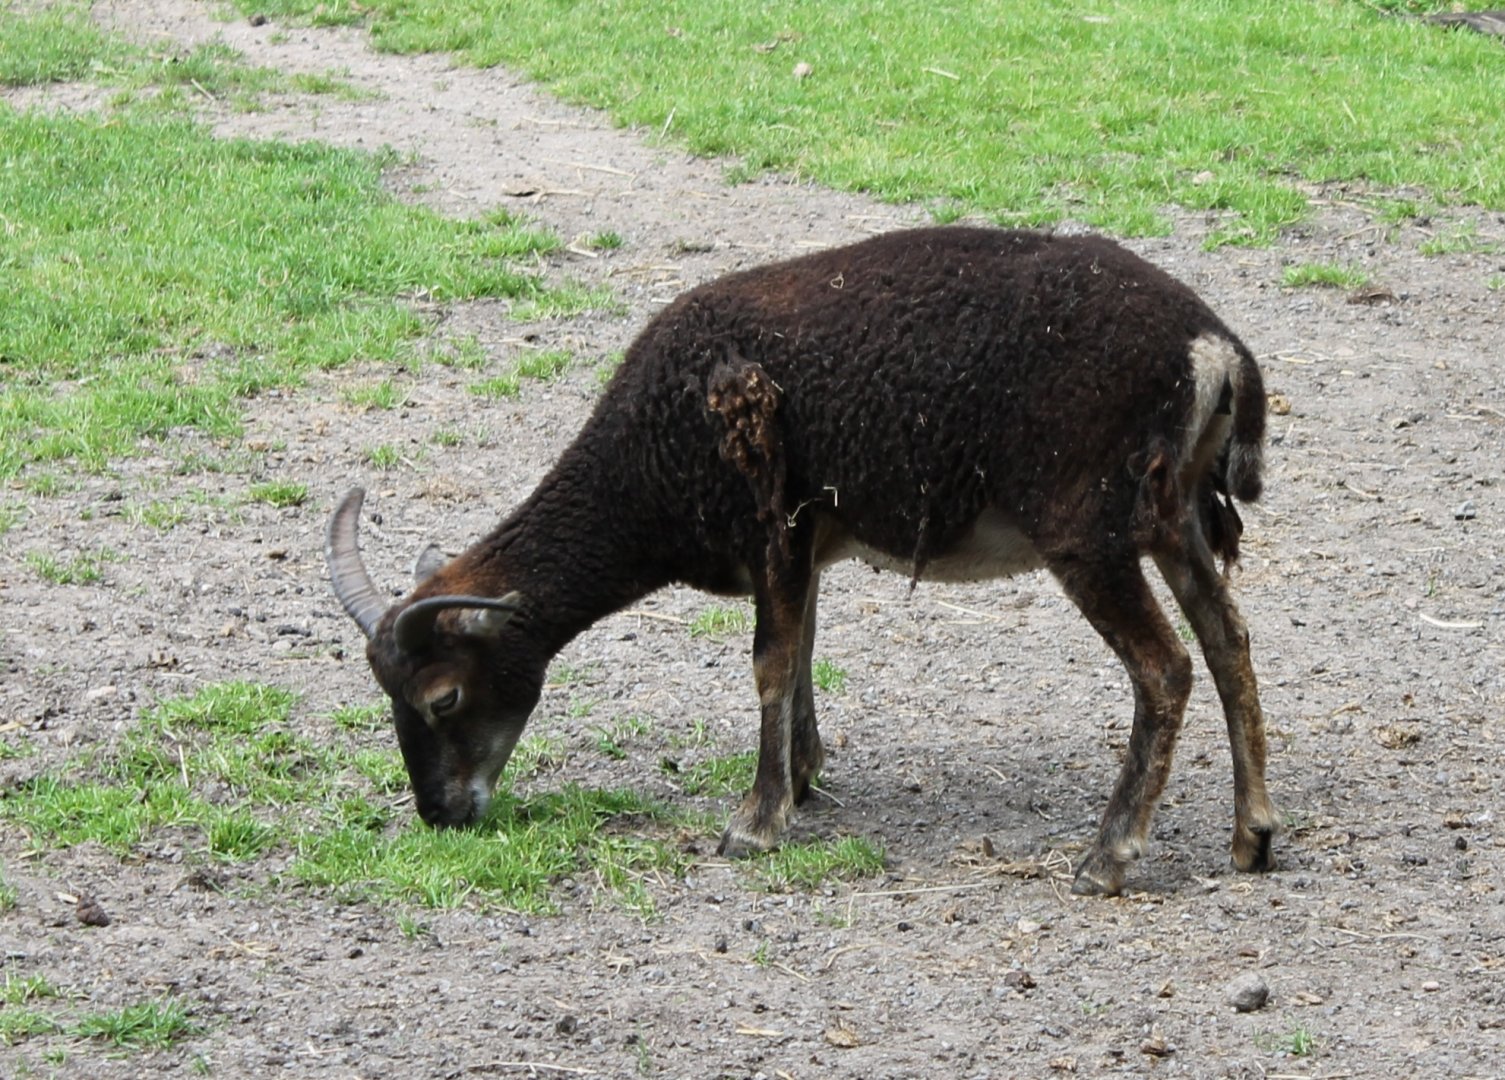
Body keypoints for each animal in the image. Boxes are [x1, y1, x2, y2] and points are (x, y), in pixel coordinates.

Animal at [326, 225, 1277, 897]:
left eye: (443, 697)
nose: (442, 815)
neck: (644, 465)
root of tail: (1211, 348)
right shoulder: (805, 540)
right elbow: (806, 648)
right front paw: (806, 776)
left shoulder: (771, 527)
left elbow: (770, 662)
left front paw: (753, 823)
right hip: (1173, 521)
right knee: (1228, 643)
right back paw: (1252, 836)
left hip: (1088, 529)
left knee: (1165, 668)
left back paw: (1106, 860)